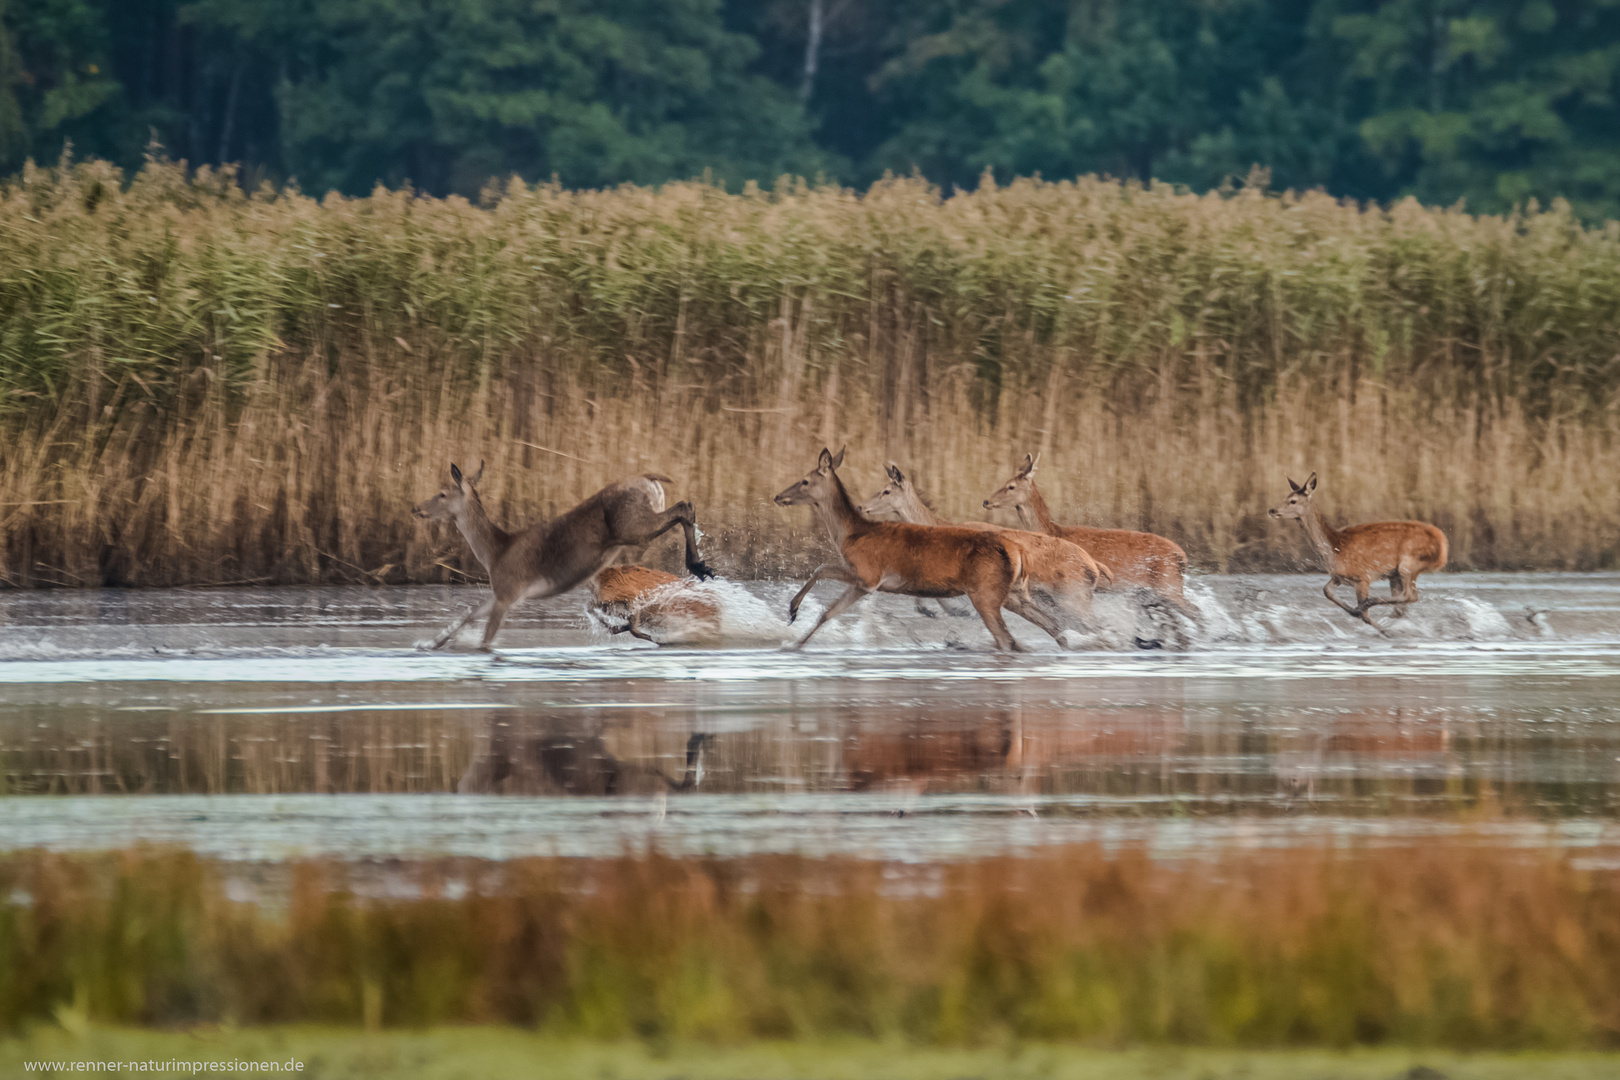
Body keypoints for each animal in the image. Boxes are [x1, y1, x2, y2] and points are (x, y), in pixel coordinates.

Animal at [1263, 472, 1445, 634]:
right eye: (1285, 497)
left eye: (1293, 501)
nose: (1272, 510)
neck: (1334, 550)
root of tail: (1442, 546)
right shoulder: (1339, 577)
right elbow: (1326, 591)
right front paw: (1357, 613)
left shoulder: (1362, 576)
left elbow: (1364, 614)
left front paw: (1382, 628)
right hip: (1395, 574)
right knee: (1401, 606)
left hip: (1409, 562)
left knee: (1410, 595)